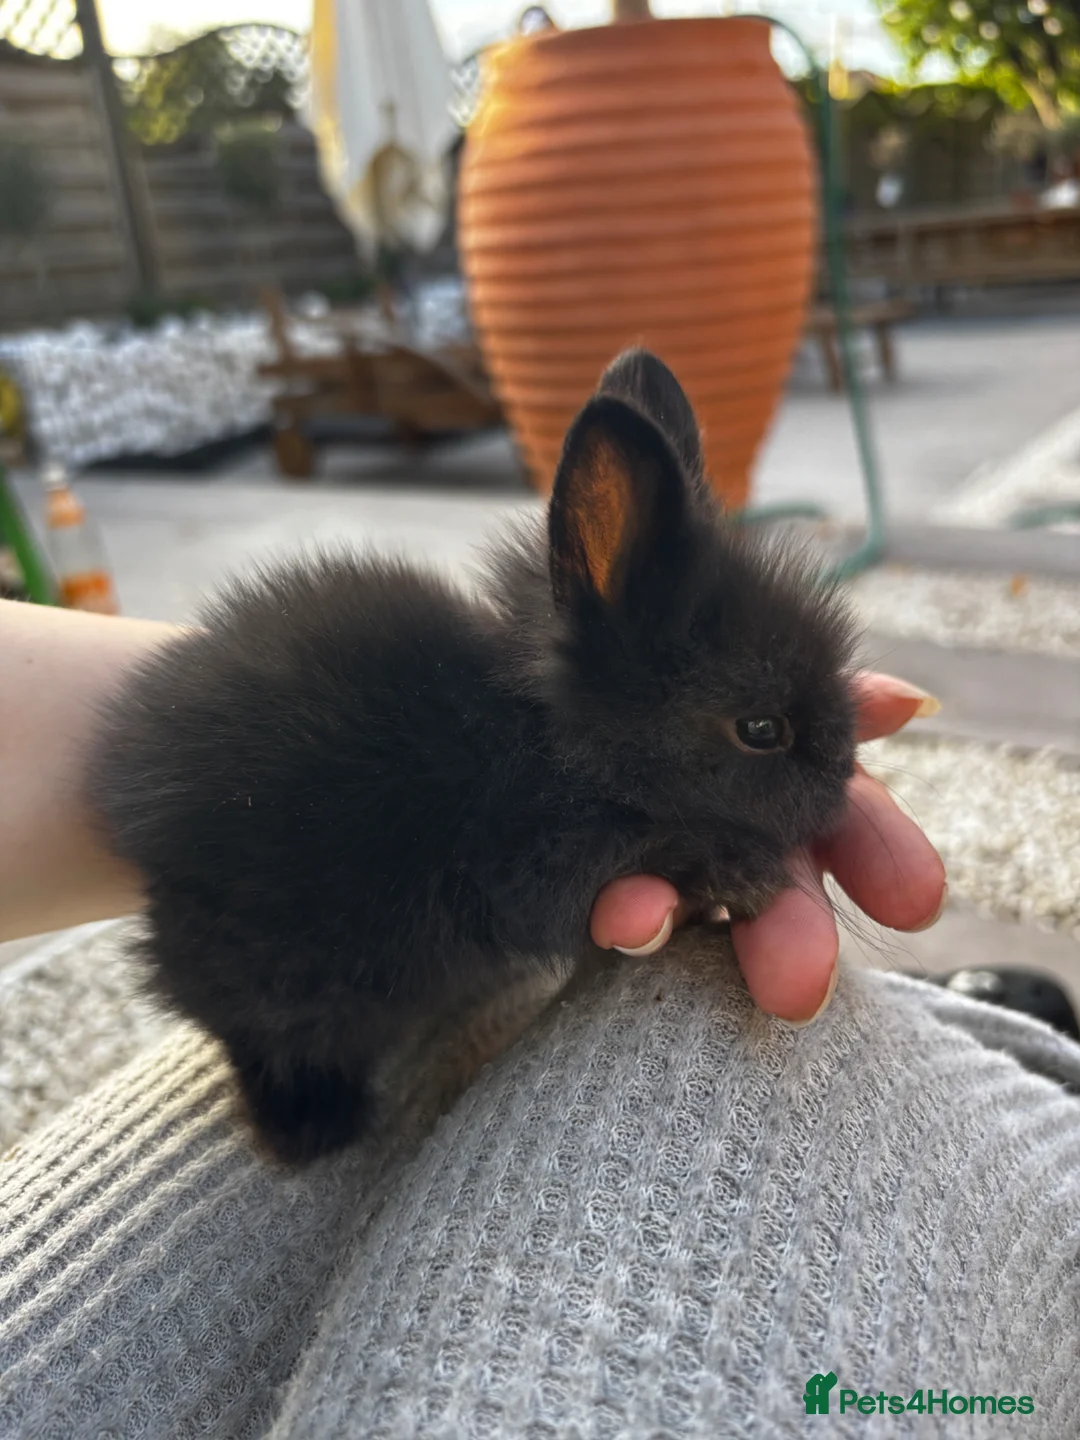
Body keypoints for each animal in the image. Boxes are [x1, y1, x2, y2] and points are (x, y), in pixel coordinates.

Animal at [88, 349, 857, 1164]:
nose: (844, 773)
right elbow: (664, 846)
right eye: (762, 729)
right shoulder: (535, 864)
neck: (551, 750)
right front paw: (748, 874)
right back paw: (310, 1128)